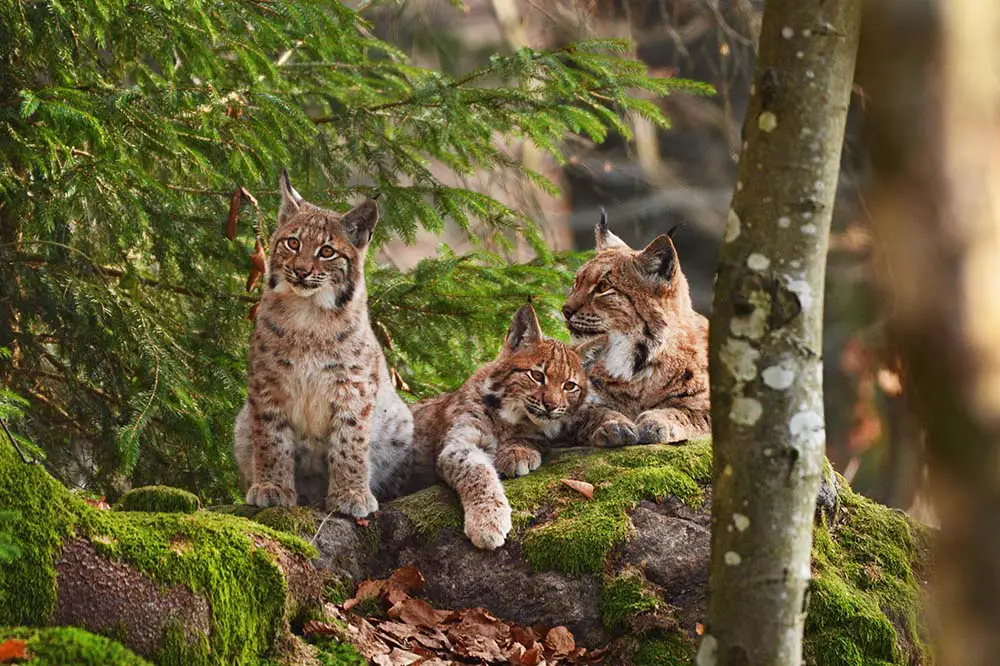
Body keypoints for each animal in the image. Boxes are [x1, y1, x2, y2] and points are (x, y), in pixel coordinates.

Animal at [233, 170, 410, 512]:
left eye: (327, 252)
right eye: (293, 243)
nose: (301, 271)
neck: (309, 313)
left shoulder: (353, 385)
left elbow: (350, 442)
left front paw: (351, 492)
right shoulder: (267, 382)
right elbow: (272, 439)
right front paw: (273, 486)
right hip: (242, 421)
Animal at [410, 304, 588, 548]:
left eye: (569, 386)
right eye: (537, 375)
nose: (551, 406)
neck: (509, 415)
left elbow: (532, 437)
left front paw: (517, 451)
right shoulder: (458, 443)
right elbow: (477, 472)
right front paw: (487, 521)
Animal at [564, 213, 712, 446]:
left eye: (603, 287)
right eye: (576, 283)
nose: (565, 310)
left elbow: (684, 412)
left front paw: (657, 421)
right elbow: (592, 412)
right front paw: (613, 424)